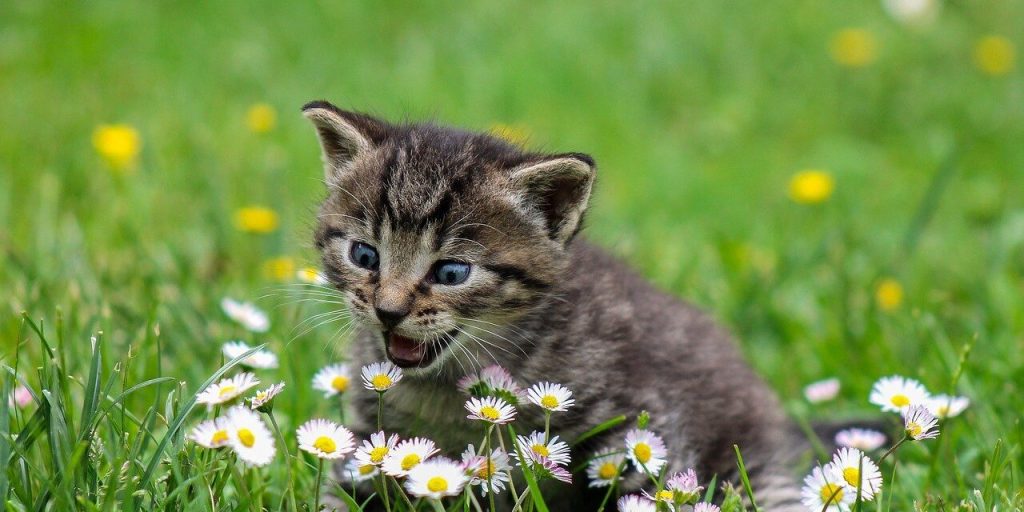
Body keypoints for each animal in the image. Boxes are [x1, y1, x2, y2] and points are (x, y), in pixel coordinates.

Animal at [303, 99, 806, 507]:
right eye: (364, 255)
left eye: (451, 273)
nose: (388, 311)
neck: (446, 387)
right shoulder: (371, 441)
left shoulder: (641, 427)